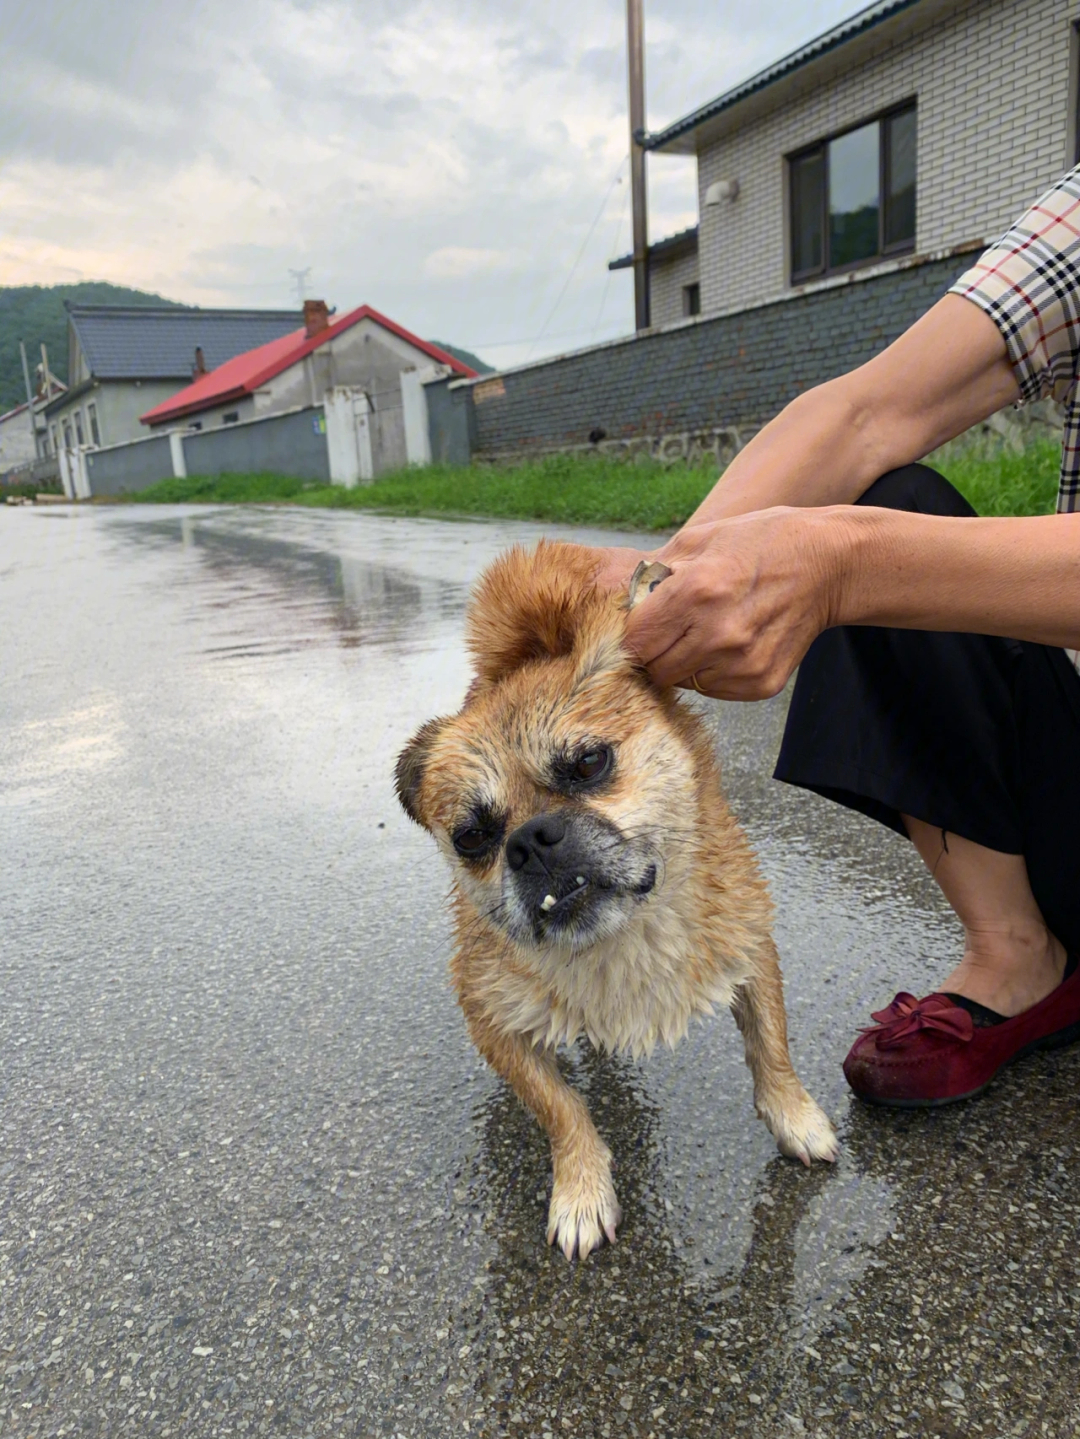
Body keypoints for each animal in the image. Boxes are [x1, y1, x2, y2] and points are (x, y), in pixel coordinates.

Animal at [394, 541, 834, 1260]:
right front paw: (581, 1188)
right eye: (473, 837)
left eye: (589, 763)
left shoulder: (750, 947)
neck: (619, 939)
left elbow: (772, 1047)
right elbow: (561, 1107)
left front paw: (795, 1118)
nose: (530, 841)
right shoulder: (492, 1019)